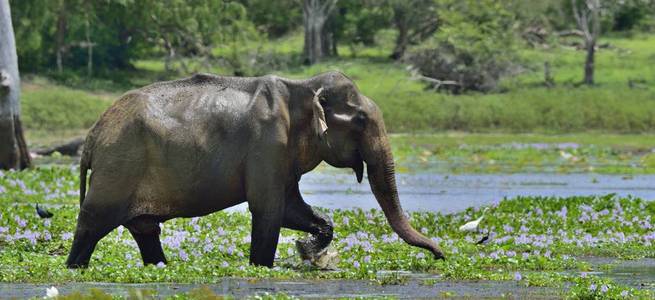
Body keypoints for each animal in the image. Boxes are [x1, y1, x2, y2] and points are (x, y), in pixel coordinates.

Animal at [65, 71, 446, 268]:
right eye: (362, 120)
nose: (440, 256)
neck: (302, 87)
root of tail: (94, 134)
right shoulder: (267, 144)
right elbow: (268, 211)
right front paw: (272, 263)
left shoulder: (282, 156)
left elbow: (292, 209)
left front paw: (308, 249)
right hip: (118, 168)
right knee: (92, 225)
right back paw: (75, 266)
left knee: (146, 231)